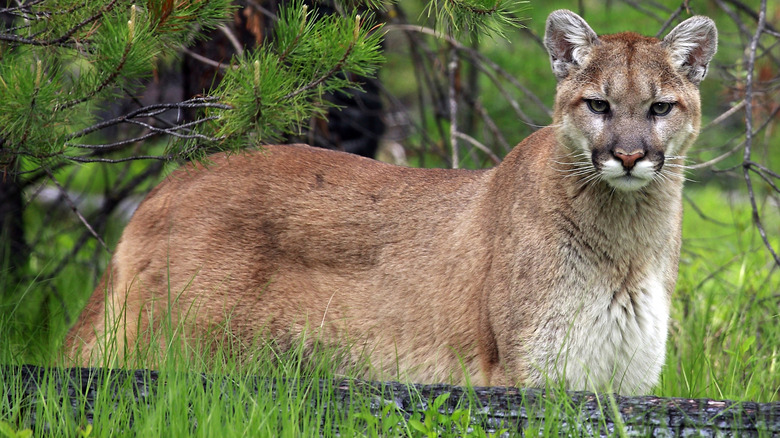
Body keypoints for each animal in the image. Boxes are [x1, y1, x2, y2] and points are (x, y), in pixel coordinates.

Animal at [68, 9, 720, 394]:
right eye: (598, 105)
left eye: (660, 108)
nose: (629, 156)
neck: (628, 241)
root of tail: (172, 181)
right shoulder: (530, 373)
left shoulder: (623, 383)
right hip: (163, 353)